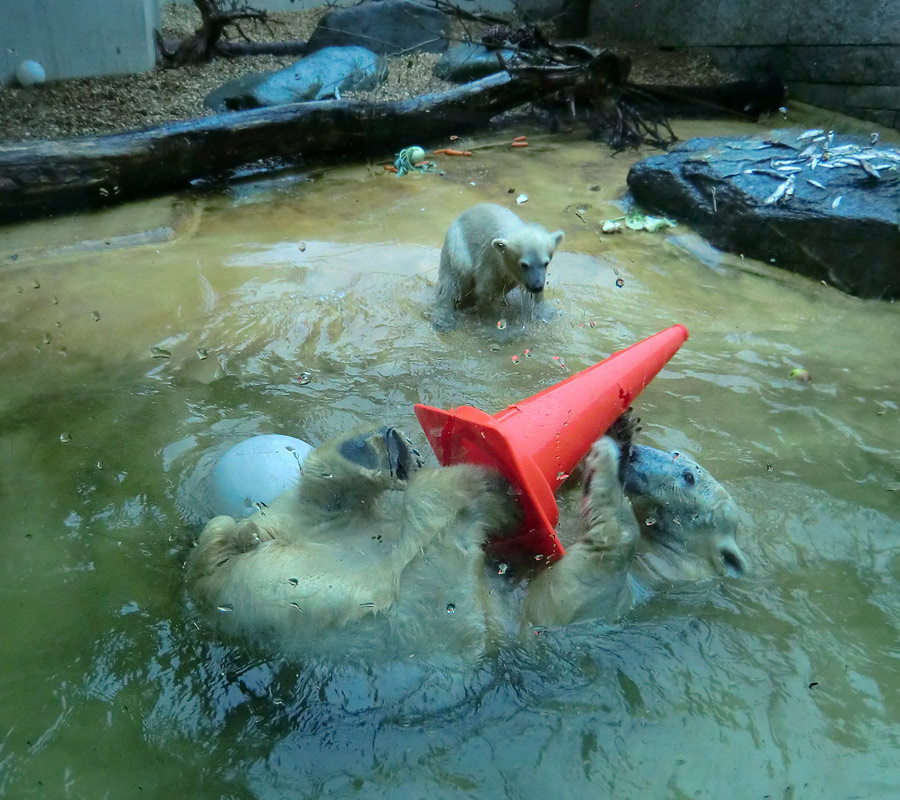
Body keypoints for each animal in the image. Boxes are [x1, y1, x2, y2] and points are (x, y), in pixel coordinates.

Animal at [185, 424, 744, 664]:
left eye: (689, 475)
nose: (636, 458)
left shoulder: (601, 609)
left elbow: (565, 590)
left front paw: (605, 462)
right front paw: (613, 433)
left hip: (384, 607)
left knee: (439, 524)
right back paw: (373, 450)